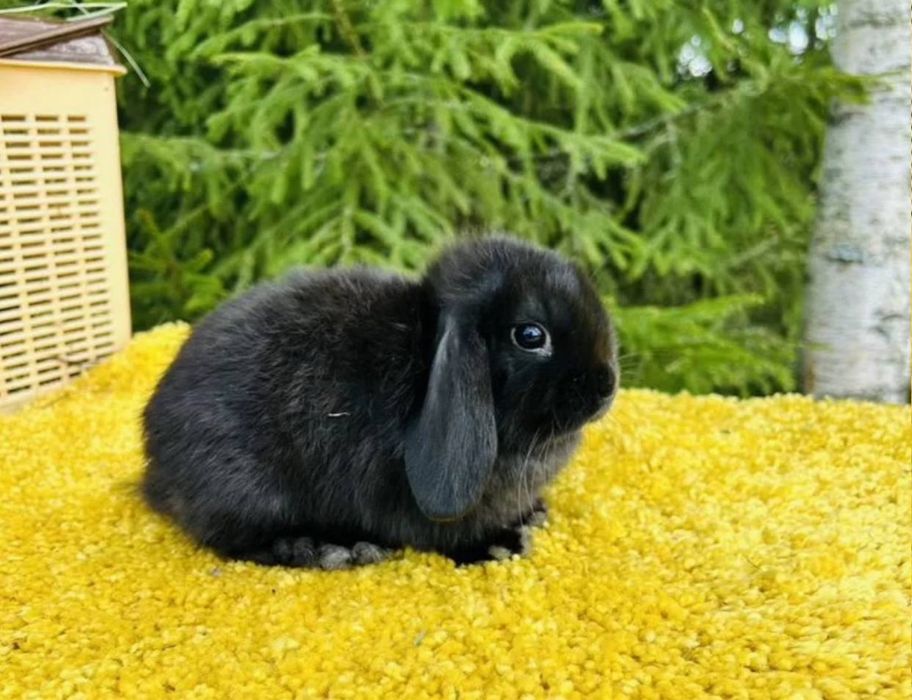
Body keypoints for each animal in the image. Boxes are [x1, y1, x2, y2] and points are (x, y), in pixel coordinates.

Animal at [141, 235, 618, 569]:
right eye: (531, 335)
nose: (607, 386)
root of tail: (156, 469)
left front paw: (531, 515)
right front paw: (497, 546)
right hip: (251, 491)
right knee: (238, 542)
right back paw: (329, 549)